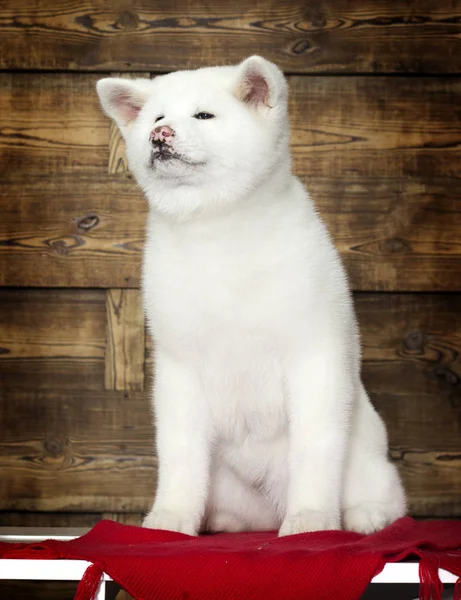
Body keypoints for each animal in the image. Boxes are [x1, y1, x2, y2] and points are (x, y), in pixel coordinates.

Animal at [95, 55, 404, 536]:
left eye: (204, 115)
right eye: (158, 118)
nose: (159, 135)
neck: (216, 226)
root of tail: (266, 508)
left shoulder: (314, 353)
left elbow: (314, 450)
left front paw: (311, 520)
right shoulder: (179, 365)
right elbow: (178, 454)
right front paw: (171, 517)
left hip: (364, 451)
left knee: (388, 497)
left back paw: (363, 515)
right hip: (228, 484)